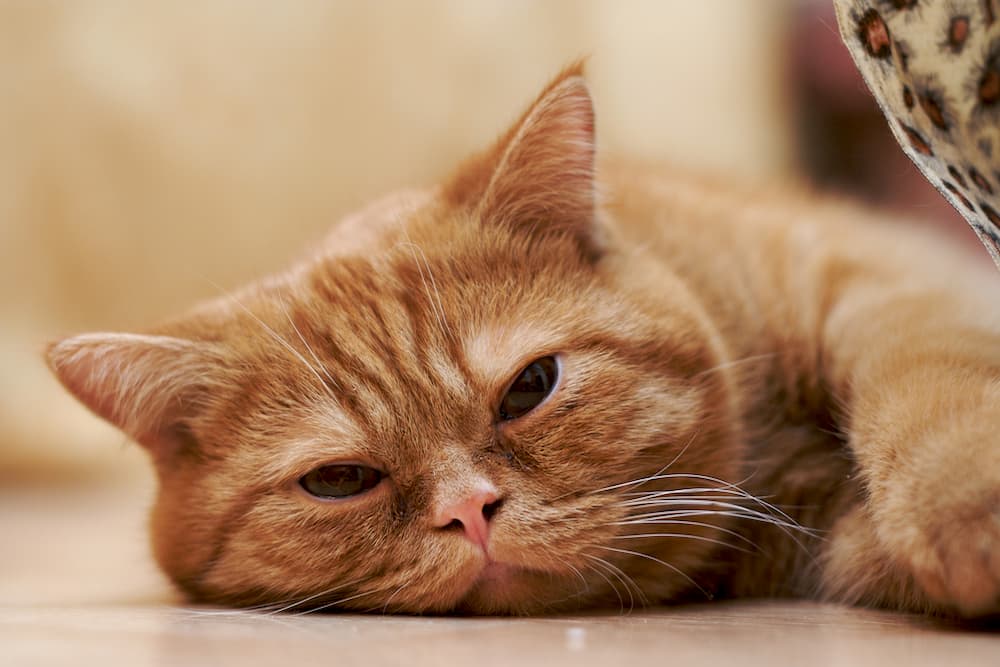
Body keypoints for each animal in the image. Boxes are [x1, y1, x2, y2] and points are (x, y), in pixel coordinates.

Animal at [45, 65, 1000, 620]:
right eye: (340, 480)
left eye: (529, 388)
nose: (469, 511)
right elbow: (862, 549)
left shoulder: (866, 281)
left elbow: (925, 385)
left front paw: (964, 508)